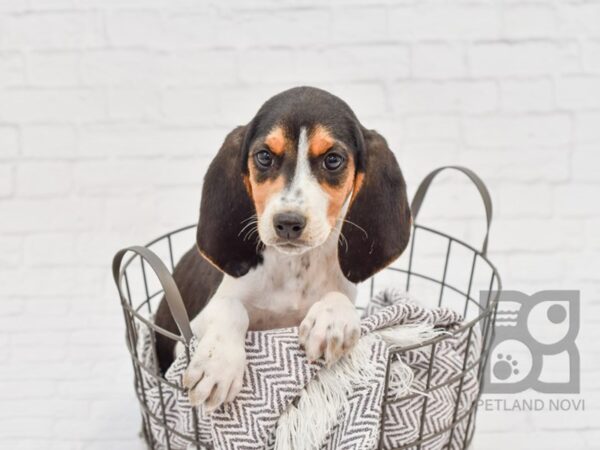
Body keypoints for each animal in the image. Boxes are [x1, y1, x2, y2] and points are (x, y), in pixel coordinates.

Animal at [154, 86, 412, 414]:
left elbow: (339, 298)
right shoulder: (184, 338)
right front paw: (217, 366)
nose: (288, 222)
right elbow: (231, 308)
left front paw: (330, 322)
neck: (294, 267)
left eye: (333, 160)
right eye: (264, 156)